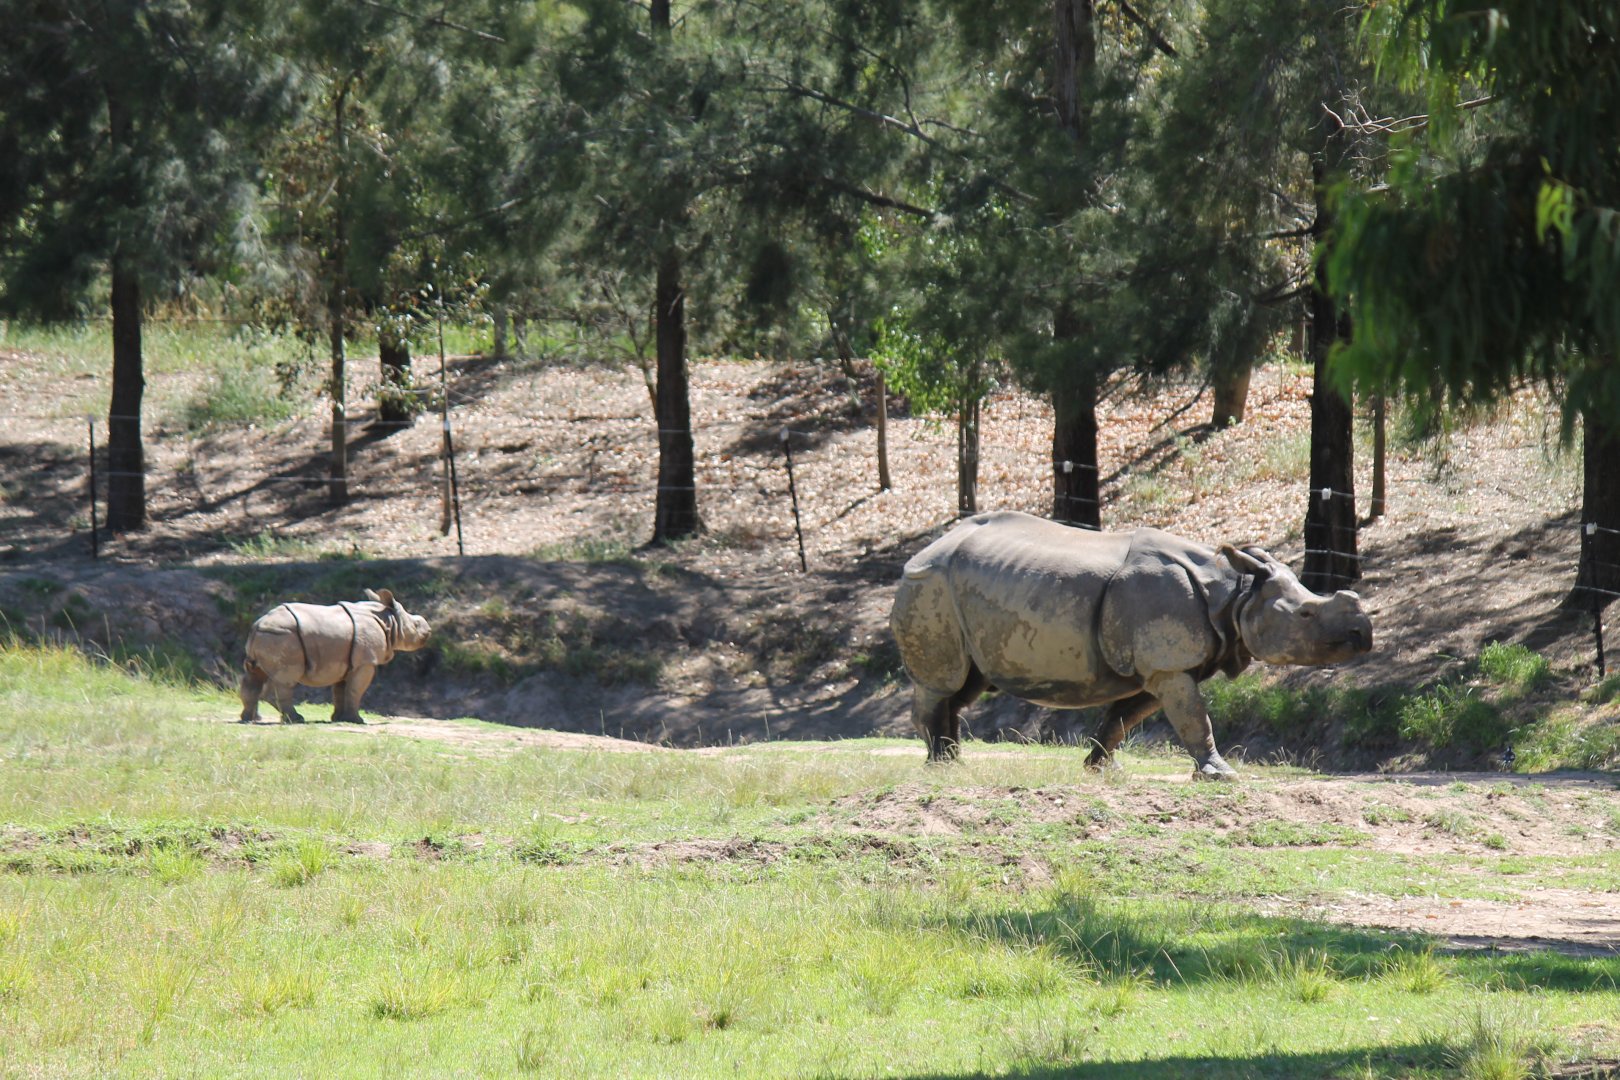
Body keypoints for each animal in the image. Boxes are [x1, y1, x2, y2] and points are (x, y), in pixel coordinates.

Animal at [238, 589, 432, 724]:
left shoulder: (347, 661)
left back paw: (251, 719)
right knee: (286, 678)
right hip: (283, 636)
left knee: (255, 675)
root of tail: (257, 625)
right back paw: (296, 719)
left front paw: (339, 718)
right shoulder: (365, 662)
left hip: (270, 636)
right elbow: (356, 689)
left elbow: (341, 691)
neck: (389, 620)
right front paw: (358, 721)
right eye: (416, 624)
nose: (429, 630)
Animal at [890, 511, 1372, 779]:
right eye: (1306, 615)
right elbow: (1195, 718)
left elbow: (1124, 718)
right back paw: (940, 766)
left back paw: (953, 764)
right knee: (942, 682)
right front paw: (1222, 776)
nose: (1362, 636)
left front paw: (1101, 769)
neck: (1234, 594)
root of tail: (924, 549)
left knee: (965, 685)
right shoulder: (1169, 662)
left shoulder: (1165, 666)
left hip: (960, 592)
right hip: (930, 583)